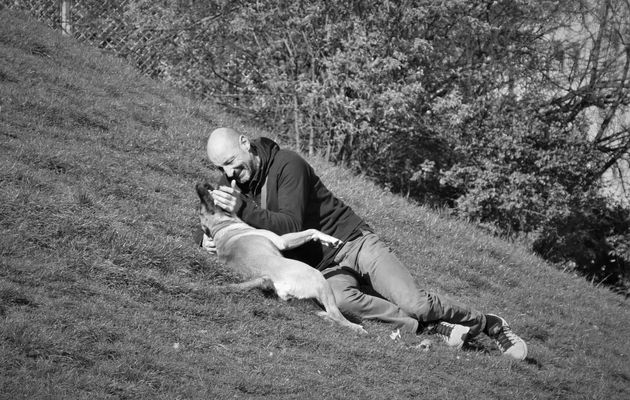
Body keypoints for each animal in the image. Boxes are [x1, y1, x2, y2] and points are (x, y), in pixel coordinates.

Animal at [195, 182, 368, 334]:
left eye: (202, 207)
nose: (199, 185)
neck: (222, 227)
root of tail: (269, 279)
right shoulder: (282, 241)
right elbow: (311, 230)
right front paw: (331, 240)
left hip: (306, 299)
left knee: (325, 314)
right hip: (318, 279)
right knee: (334, 314)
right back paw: (357, 327)